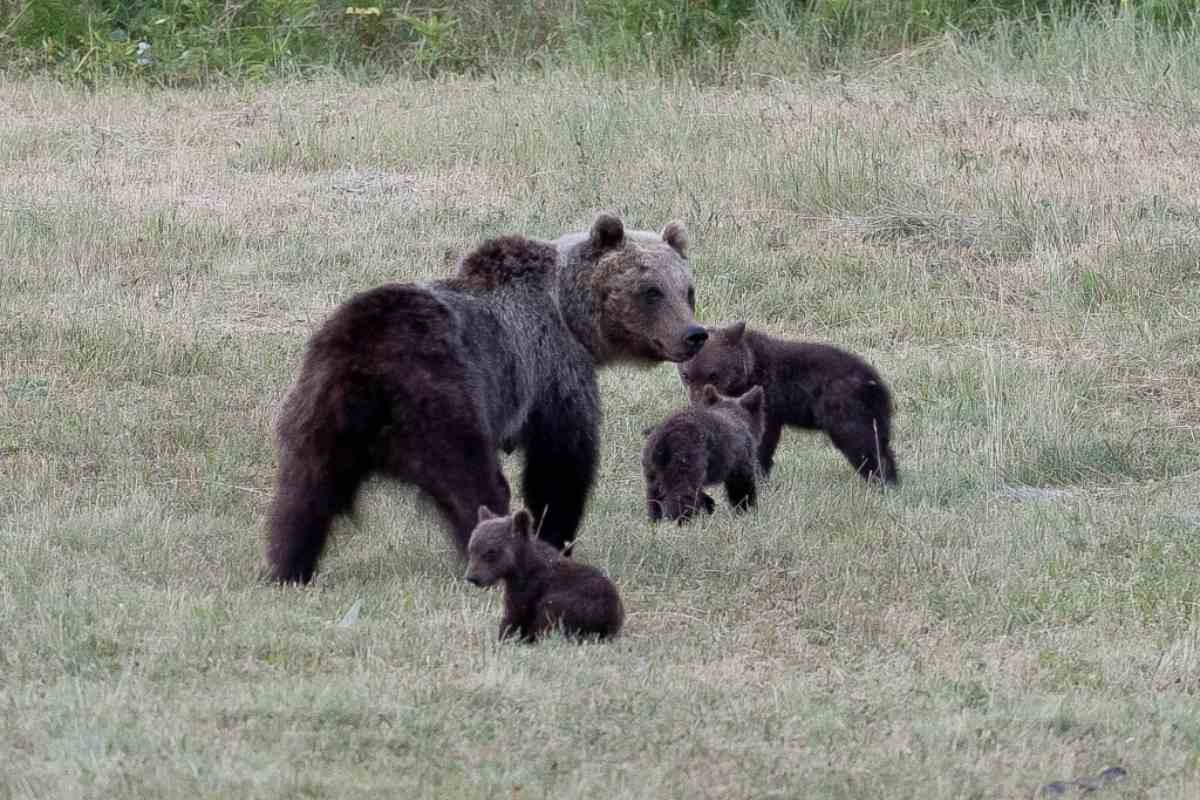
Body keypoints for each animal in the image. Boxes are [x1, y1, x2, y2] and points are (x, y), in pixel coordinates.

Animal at [266, 213, 706, 583]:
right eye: (651, 290)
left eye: (687, 290)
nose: (693, 335)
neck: (569, 314)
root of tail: (366, 368)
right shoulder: (552, 367)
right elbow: (561, 463)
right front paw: (556, 538)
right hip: (442, 398)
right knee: (473, 485)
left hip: (318, 410)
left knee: (302, 496)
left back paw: (289, 567)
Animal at [465, 506, 624, 642]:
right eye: (471, 548)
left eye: (491, 552)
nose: (472, 577)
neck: (520, 567)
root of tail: (610, 619)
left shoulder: (528, 588)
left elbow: (515, 615)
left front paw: (503, 638)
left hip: (575, 605)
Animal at [641, 384, 766, 523]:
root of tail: (664, 438)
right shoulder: (740, 459)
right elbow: (742, 487)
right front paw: (748, 511)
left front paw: (708, 504)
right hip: (686, 459)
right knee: (682, 495)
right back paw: (682, 521)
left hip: (653, 467)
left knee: (654, 496)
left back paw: (655, 519)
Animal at [677, 322, 898, 484]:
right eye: (686, 376)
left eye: (713, 375)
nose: (697, 404)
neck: (750, 373)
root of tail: (875, 382)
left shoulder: (768, 402)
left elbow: (762, 440)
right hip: (874, 414)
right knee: (881, 444)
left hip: (845, 410)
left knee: (863, 445)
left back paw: (880, 482)